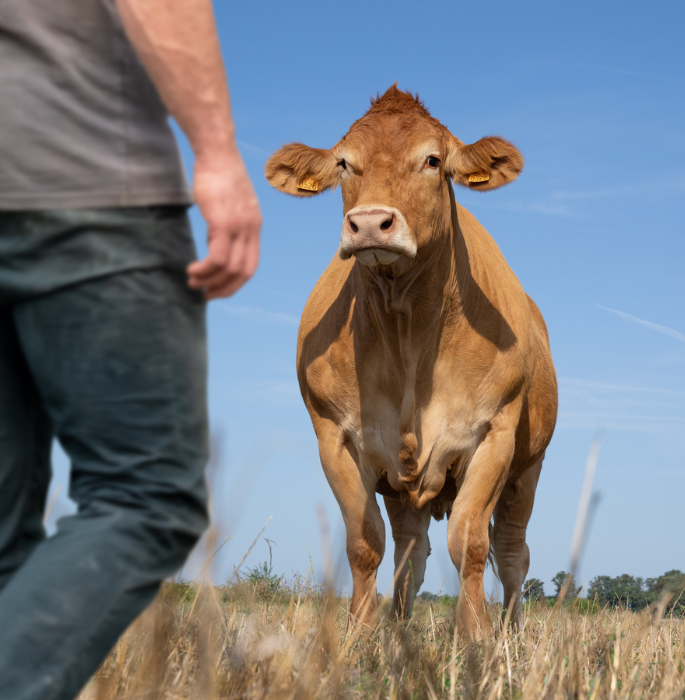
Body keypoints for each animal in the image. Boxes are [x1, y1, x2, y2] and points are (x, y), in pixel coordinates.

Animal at [265, 86, 558, 638]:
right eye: (344, 163)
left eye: (432, 160)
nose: (368, 224)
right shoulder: (335, 437)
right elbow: (365, 544)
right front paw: (359, 634)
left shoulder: (494, 435)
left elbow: (471, 543)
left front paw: (477, 637)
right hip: (404, 485)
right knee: (410, 553)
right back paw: (399, 630)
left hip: (527, 469)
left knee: (513, 552)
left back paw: (511, 632)